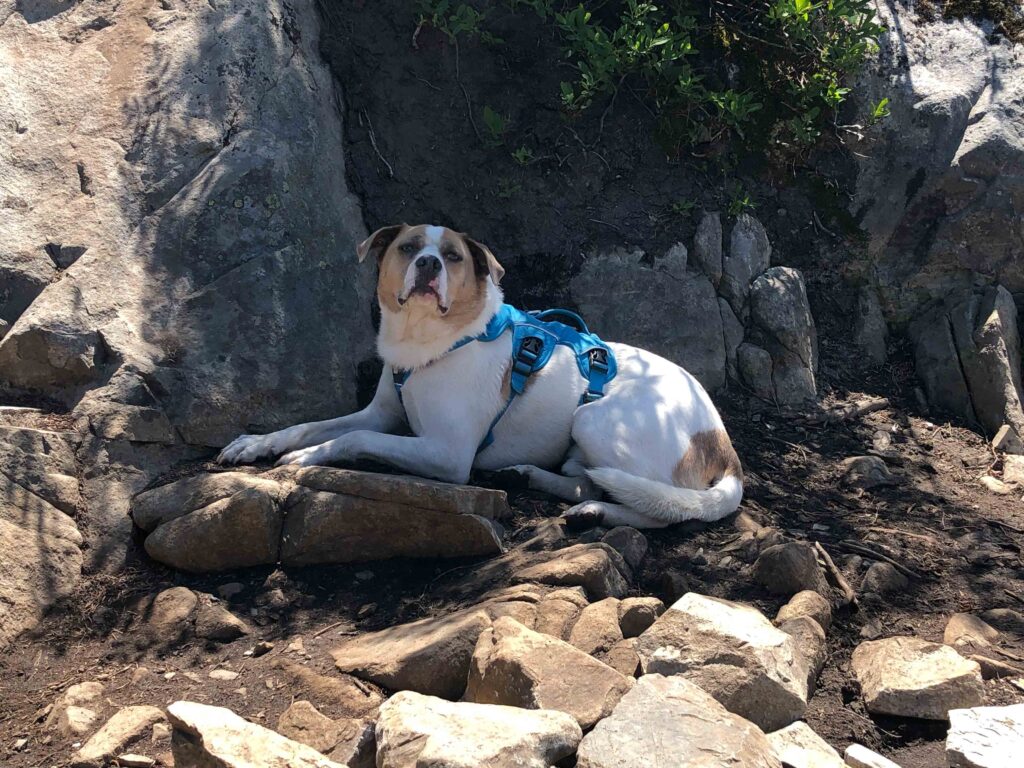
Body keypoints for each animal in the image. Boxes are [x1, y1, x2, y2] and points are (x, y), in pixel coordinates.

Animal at [218, 225, 745, 532]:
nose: (428, 263)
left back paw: (598, 513)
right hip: (582, 440)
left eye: (453, 256)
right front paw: (257, 442)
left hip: (595, 420)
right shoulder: (383, 412)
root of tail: (726, 449)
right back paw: (531, 476)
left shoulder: (448, 455)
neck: (428, 343)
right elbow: (312, 425)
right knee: (589, 481)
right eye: (409, 247)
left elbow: (354, 439)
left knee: (658, 509)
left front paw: (307, 457)